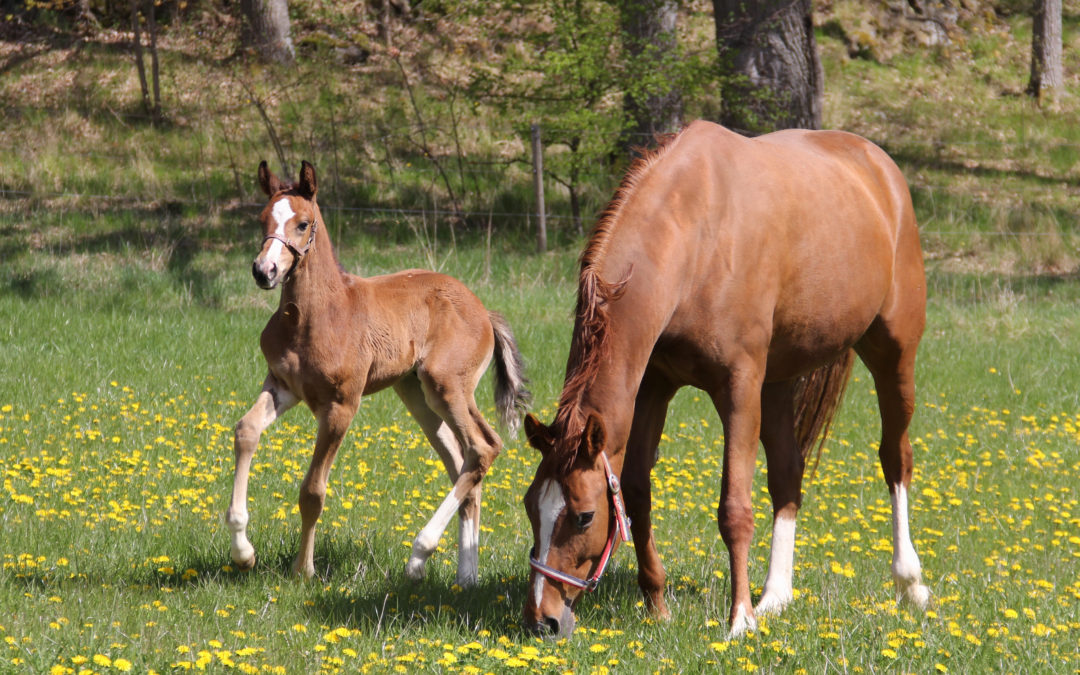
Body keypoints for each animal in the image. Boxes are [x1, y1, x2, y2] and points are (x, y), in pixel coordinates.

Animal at [225, 160, 529, 587]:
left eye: (303, 223)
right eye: (262, 219)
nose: (263, 270)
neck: (314, 317)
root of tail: (484, 311)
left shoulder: (341, 405)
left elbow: (312, 491)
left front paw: (303, 570)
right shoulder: (283, 386)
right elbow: (246, 430)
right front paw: (244, 552)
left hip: (447, 386)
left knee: (484, 447)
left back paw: (419, 556)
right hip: (417, 395)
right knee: (463, 461)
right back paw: (465, 576)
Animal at [522, 119, 928, 635]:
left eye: (582, 516)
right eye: (530, 506)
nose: (542, 619)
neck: (695, 235)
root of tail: (880, 167)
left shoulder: (738, 387)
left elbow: (734, 509)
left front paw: (740, 620)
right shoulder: (654, 386)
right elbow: (636, 491)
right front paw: (658, 604)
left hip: (894, 355)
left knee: (895, 458)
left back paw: (909, 582)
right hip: (778, 382)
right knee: (787, 474)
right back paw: (775, 595)